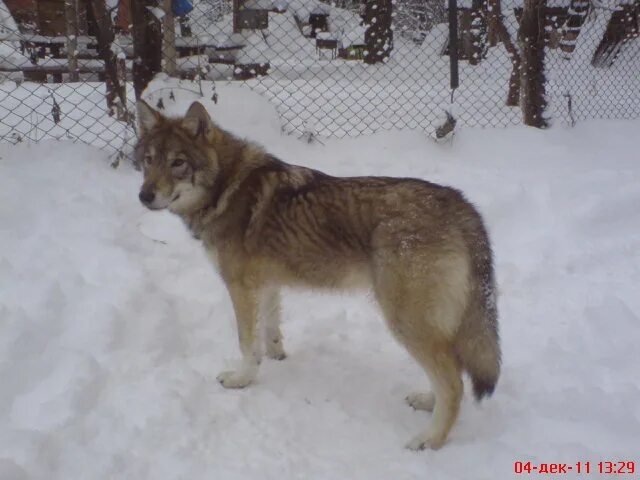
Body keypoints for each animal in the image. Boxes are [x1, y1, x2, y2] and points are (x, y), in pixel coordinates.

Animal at [138, 101, 502, 450]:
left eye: (178, 162)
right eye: (148, 160)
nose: (144, 196)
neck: (226, 186)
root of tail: (461, 204)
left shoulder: (240, 288)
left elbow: (245, 343)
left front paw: (242, 380)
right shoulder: (266, 285)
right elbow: (269, 330)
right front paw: (276, 356)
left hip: (405, 321)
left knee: (453, 383)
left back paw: (430, 439)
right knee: (451, 371)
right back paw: (427, 401)